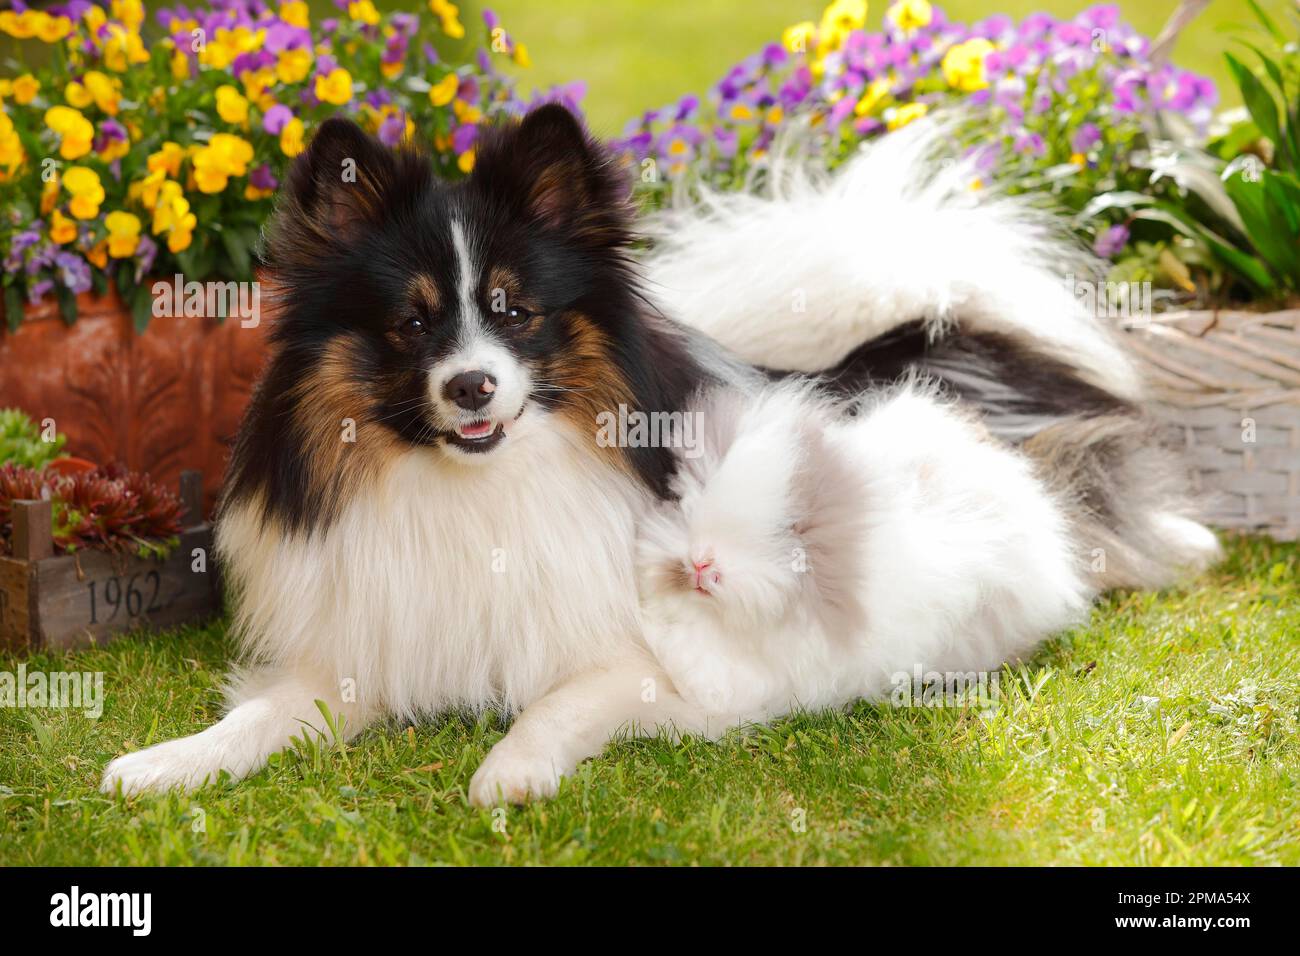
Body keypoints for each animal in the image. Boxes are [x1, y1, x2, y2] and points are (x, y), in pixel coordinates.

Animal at [101, 104, 1216, 806]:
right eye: (410, 326)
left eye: (514, 311)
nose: (471, 388)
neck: (481, 487)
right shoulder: (364, 649)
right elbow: (262, 718)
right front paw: (168, 763)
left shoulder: (635, 658)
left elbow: (560, 700)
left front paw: (511, 770)